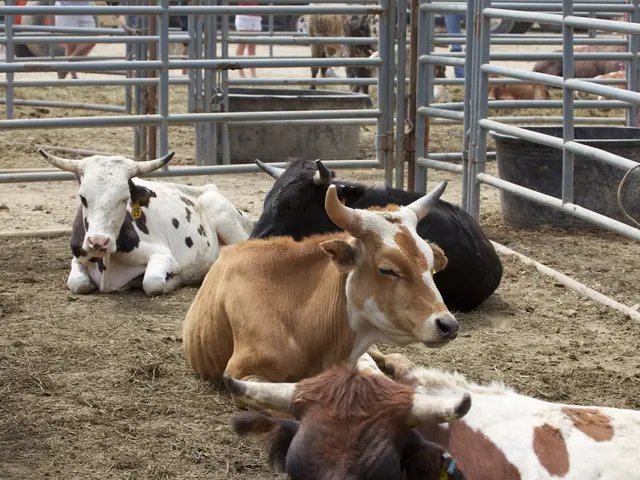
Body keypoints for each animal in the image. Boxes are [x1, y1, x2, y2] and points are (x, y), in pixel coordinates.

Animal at [38, 149, 253, 297]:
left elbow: (152, 283)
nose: (98, 242)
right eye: (83, 198)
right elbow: (77, 283)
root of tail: (210, 188)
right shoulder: (77, 257)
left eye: (124, 199)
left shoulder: (163, 255)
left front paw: (174, 280)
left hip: (224, 218)